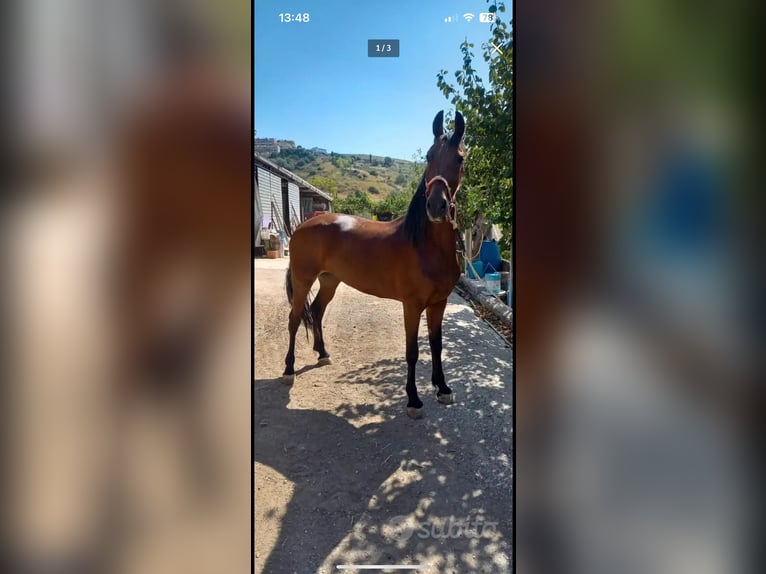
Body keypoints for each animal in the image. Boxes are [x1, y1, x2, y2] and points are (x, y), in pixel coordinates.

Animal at [283, 110, 466, 419]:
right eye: (429, 156)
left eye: (460, 158)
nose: (436, 206)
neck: (424, 245)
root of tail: (305, 223)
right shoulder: (412, 306)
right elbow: (412, 351)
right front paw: (413, 400)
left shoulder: (438, 303)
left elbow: (436, 345)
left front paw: (442, 388)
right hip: (302, 279)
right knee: (295, 319)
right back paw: (288, 369)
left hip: (329, 280)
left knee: (316, 312)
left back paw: (323, 354)